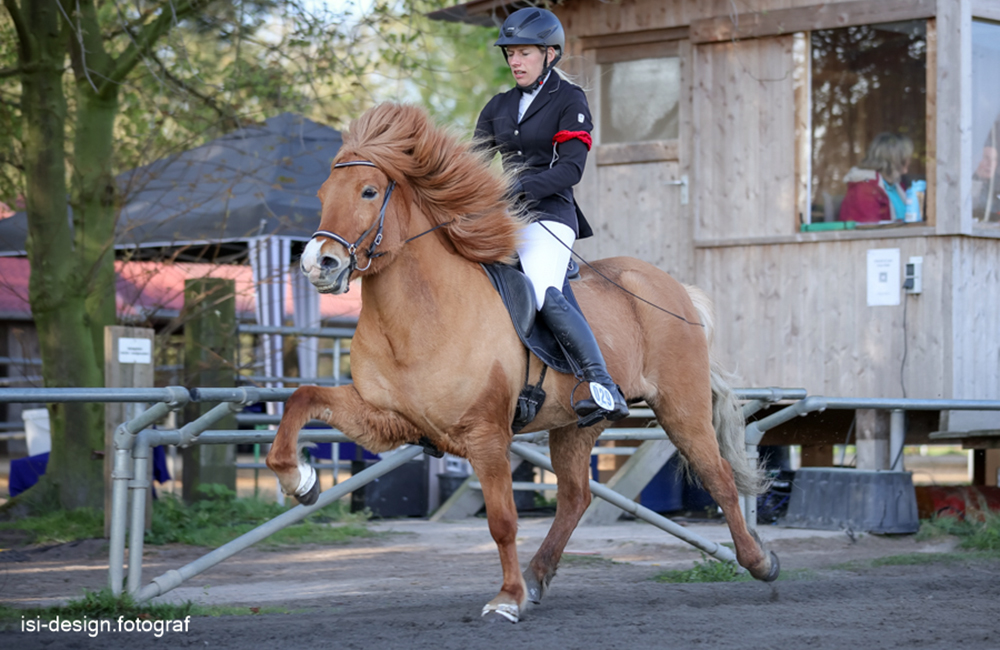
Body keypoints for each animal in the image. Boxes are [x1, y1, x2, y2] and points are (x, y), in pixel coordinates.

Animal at [268, 102, 780, 624]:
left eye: (369, 191)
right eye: (323, 194)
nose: (318, 264)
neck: (417, 317)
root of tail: (674, 288)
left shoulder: (487, 434)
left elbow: (502, 520)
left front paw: (507, 598)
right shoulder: (390, 420)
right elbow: (302, 400)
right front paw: (299, 480)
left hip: (681, 407)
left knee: (718, 476)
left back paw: (759, 561)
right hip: (577, 424)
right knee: (576, 497)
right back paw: (537, 577)